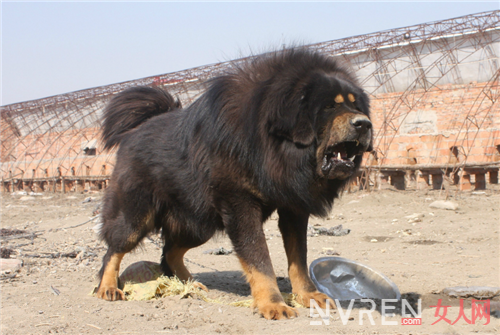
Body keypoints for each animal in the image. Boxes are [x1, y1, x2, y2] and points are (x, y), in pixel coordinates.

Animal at [96, 48, 372, 322]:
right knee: (114, 250)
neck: (270, 146)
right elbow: (259, 258)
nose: (365, 123)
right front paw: (272, 303)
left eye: (356, 106)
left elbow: (299, 259)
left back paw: (191, 285)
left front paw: (308, 295)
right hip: (136, 217)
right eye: (329, 106)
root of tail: (134, 131)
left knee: (169, 253)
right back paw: (108, 287)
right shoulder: (240, 204)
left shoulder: (293, 207)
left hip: (198, 224)